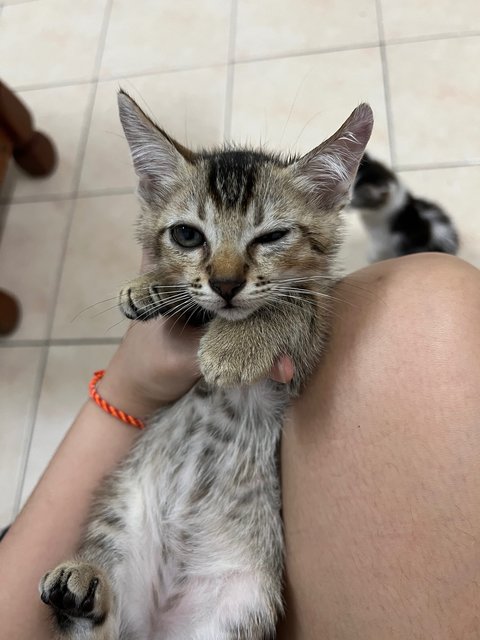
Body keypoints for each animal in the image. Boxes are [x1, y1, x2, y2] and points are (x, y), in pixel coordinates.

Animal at [39, 94, 374, 640]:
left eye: (273, 236)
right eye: (186, 235)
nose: (226, 283)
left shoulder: (309, 349)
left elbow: (294, 303)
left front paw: (232, 347)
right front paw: (149, 284)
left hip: (239, 610)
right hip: (119, 522)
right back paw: (81, 589)